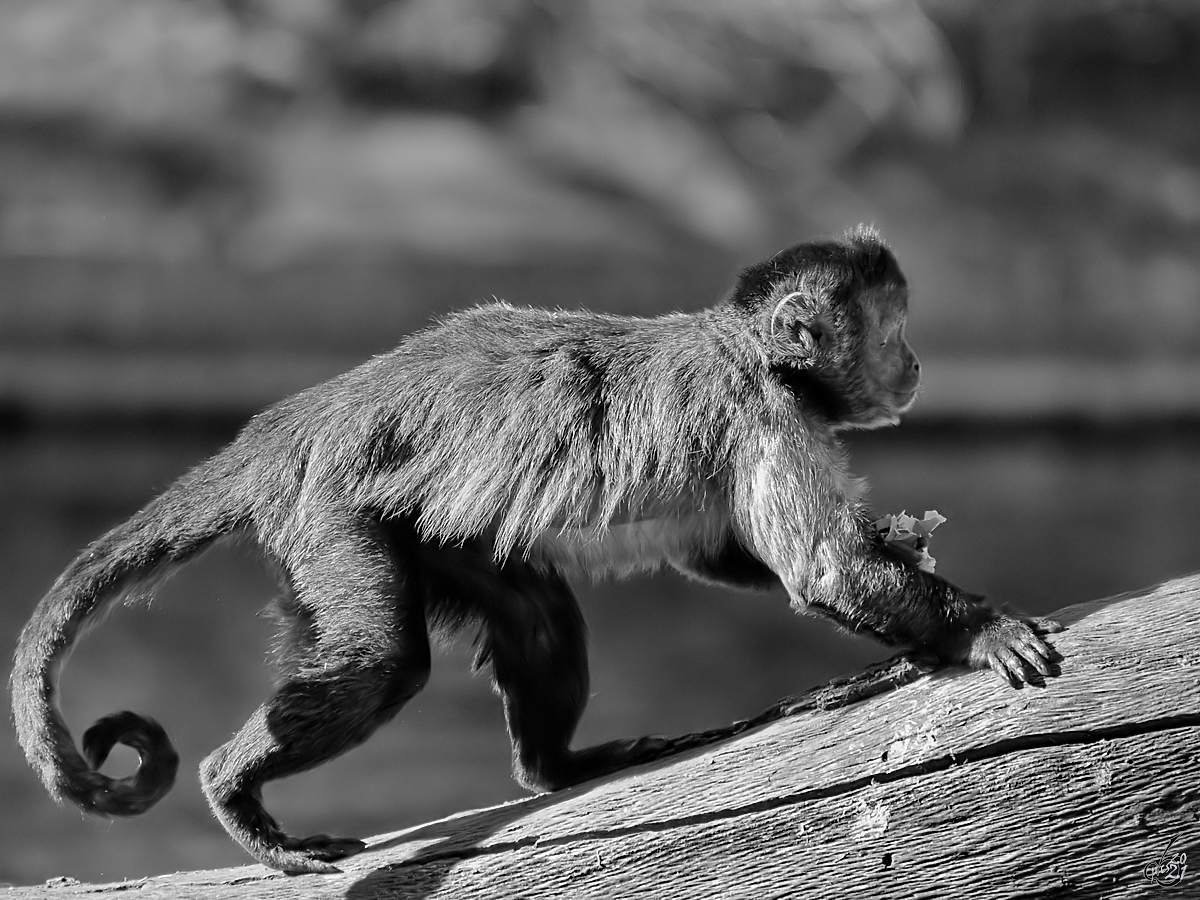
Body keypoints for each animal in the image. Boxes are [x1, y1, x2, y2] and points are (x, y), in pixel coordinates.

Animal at [9, 225, 1060, 873]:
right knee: (386, 657)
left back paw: (559, 770)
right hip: (332, 513)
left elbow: (725, 553)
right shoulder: (759, 409)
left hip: (425, 526)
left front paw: (907, 550)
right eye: (895, 331)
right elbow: (821, 569)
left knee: (533, 610)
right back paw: (233, 790)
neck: (758, 354)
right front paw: (980, 631)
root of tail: (295, 423)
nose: (916, 363)